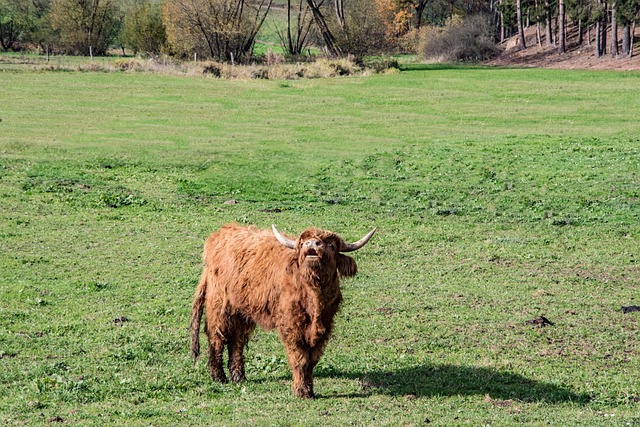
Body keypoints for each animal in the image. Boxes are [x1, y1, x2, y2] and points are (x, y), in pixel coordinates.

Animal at [190, 223, 376, 398]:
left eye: (331, 245)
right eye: (302, 243)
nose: (312, 243)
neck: (313, 296)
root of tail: (221, 233)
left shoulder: (324, 326)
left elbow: (312, 360)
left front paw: (309, 390)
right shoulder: (292, 326)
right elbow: (300, 358)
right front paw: (301, 391)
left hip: (242, 311)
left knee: (237, 340)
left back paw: (238, 377)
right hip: (220, 305)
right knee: (216, 337)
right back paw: (218, 376)